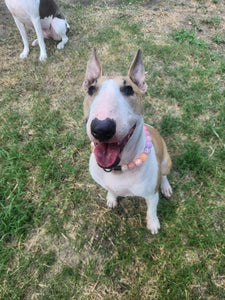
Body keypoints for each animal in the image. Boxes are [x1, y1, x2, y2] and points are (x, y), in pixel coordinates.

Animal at [83, 48, 173, 234]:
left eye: (128, 90)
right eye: (91, 89)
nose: (102, 128)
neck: (119, 169)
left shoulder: (151, 194)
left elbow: (151, 209)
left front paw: (153, 223)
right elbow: (110, 190)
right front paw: (111, 198)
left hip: (166, 161)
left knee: (164, 174)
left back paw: (166, 186)